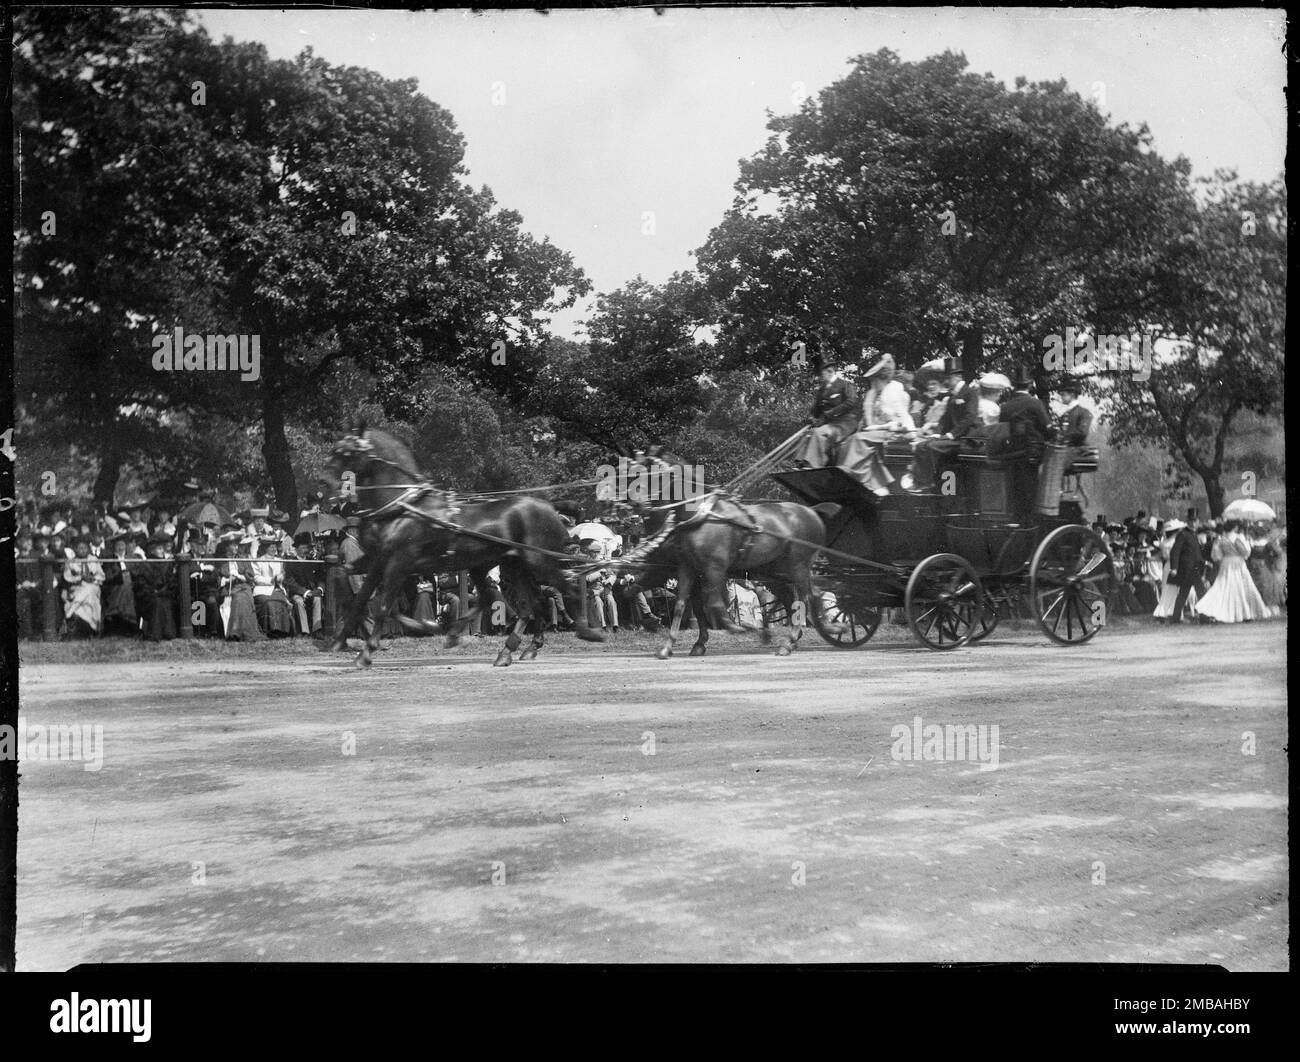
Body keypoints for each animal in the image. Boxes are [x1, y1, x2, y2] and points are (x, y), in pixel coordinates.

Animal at [330, 426, 603, 665]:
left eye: (346, 453)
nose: (326, 483)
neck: (402, 508)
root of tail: (549, 507)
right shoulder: (379, 561)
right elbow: (359, 593)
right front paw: (340, 640)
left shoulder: (399, 562)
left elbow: (382, 604)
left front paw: (367, 652)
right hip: (510, 566)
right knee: (523, 603)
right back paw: (510, 648)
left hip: (539, 562)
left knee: (563, 592)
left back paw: (586, 632)